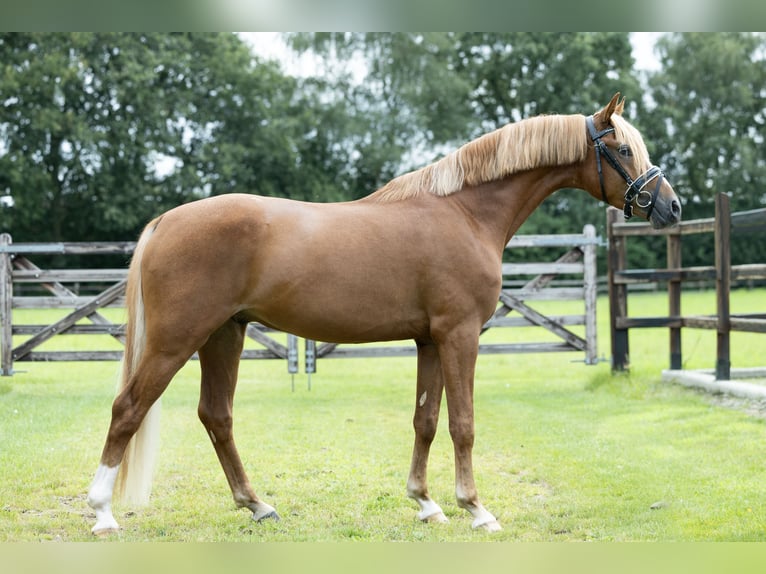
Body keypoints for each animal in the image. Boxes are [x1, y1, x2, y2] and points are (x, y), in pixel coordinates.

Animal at [88, 94, 684, 536]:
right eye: (623, 149)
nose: (671, 207)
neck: (465, 212)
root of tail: (165, 221)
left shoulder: (430, 340)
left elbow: (425, 420)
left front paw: (426, 503)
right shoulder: (460, 335)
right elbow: (463, 424)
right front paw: (476, 509)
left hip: (223, 336)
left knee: (217, 417)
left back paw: (257, 505)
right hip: (176, 339)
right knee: (127, 409)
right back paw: (102, 513)